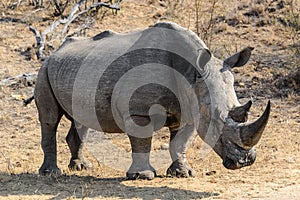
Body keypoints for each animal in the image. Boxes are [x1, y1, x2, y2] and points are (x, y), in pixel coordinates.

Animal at [34, 21, 270, 180]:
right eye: (215, 120)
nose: (246, 161)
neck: (190, 70)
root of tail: (56, 50)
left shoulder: (189, 107)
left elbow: (179, 142)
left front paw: (183, 173)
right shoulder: (138, 110)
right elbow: (142, 141)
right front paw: (142, 176)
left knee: (81, 120)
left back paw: (81, 167)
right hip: (44, 69)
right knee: (49, 119)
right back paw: (51, 173)